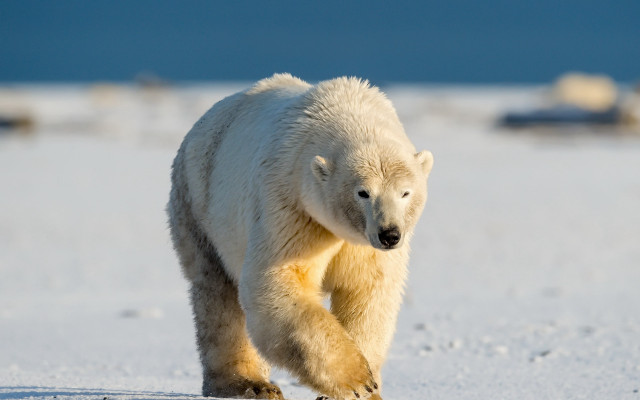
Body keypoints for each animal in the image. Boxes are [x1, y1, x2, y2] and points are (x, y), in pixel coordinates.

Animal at [167, 73, 433, 400]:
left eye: (405, 192)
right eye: (363, 192)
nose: (389, 234)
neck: (347, 110)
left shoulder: (363, 246)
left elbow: (368, 293)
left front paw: (365, 389)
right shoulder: (292, 205)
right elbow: (281, 285)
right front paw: (358, 380)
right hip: (198, 205)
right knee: (218, 293)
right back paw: (248, 384)